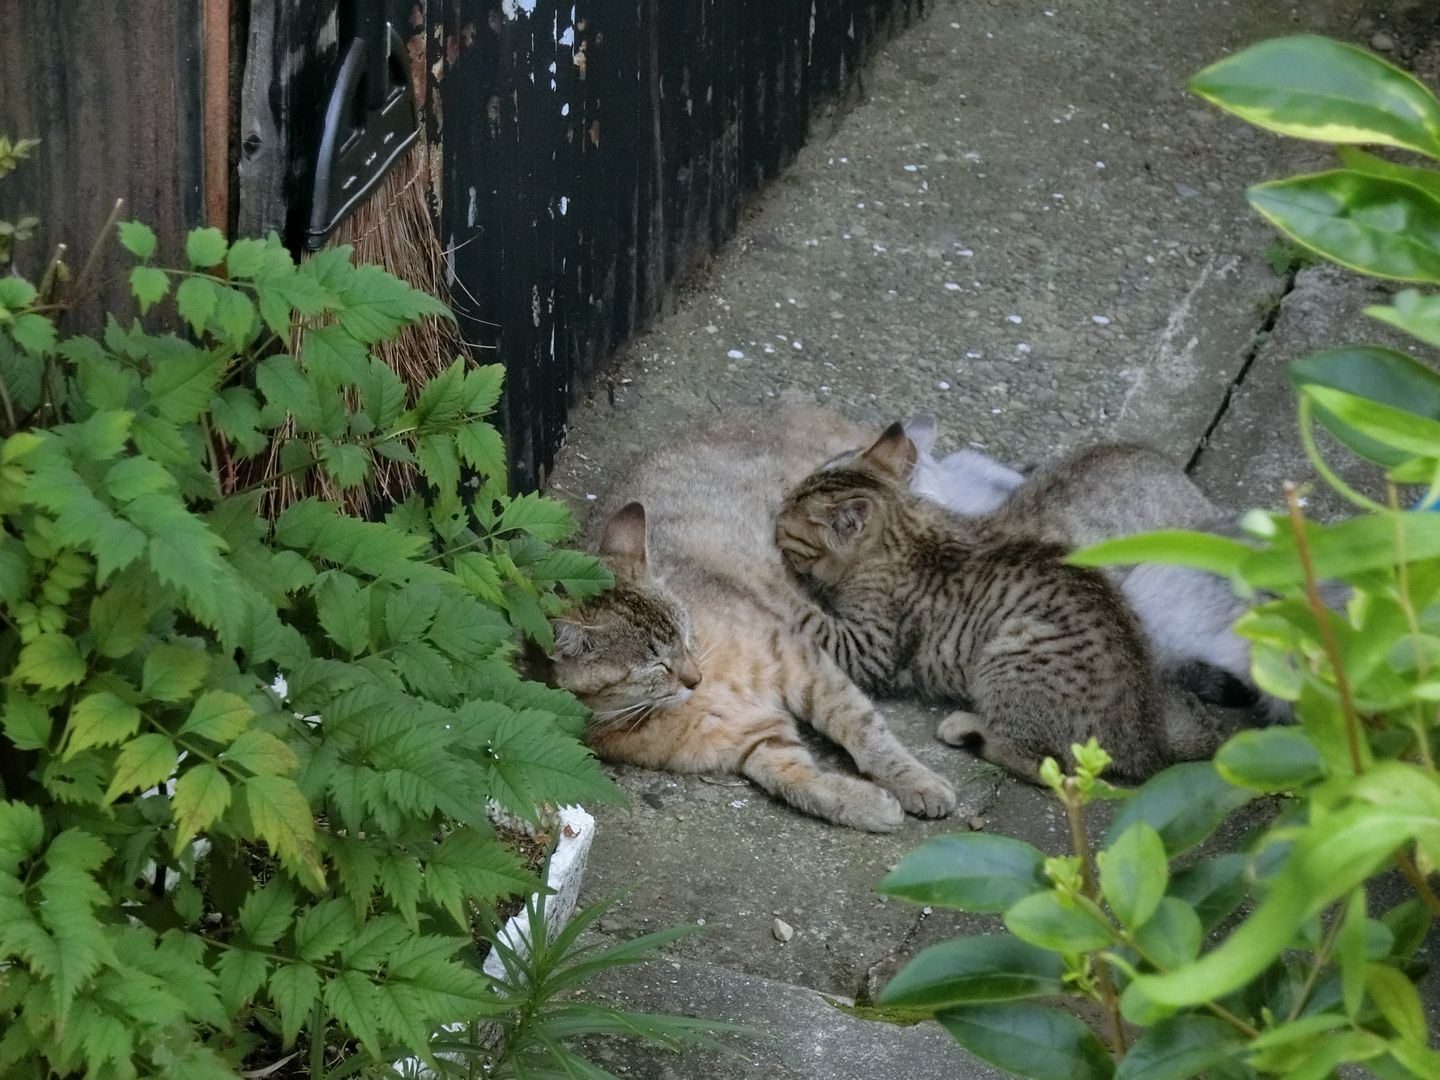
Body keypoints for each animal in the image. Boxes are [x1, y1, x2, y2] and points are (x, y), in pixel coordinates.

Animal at [542, 404, 958, 833]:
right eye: (655, 664)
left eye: (686, 635)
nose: (694, 679)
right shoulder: (754, 738)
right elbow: (798, 781)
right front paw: (862, 804)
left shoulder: (804, 662)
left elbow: (863, 728)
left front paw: (913, 779)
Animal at [775, 423, 1223, 782]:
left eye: (785, 524)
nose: (776, 509)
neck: (908, 532)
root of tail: (1146, 740)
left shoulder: (871, 646)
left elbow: (810, 618)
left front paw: (772, 586)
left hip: (1015, 647)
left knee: (1049, 766)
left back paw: (970, 728)